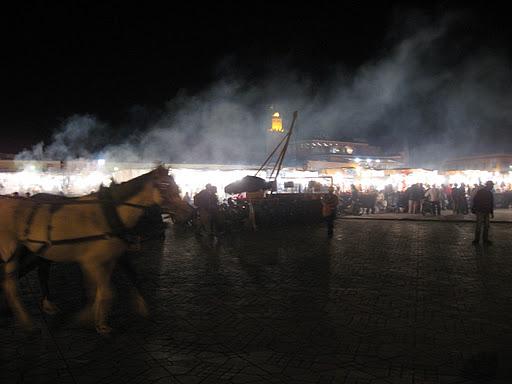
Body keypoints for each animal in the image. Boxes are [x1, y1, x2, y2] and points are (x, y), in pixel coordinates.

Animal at [0, 167, 192, 332]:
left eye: (176, 186)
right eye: (165, 186)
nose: (191, 212)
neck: (110, 213)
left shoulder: (108, 260)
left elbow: (102, 291)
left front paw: (99, 321)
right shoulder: (91, 262)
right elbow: (106, 292)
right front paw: (89, 320)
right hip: (12, 253)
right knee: (11, 284)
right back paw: (26, 321)